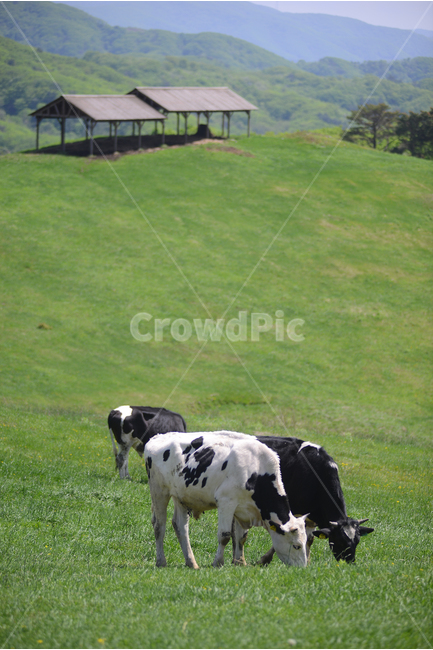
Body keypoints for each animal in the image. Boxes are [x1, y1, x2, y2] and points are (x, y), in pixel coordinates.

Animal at [144, 430, 309, 569]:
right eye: (297, 546)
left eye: (305, 542)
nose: (302, 568)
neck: (256, 468)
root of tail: (157, 437)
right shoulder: (226, 502)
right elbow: (224, 535)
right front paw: (218, 562)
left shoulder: (242, 508)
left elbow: (241, 537)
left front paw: (240, 562)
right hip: (159, 491)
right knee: (159, 526)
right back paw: (161, 561)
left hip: (181, 497)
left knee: (181, 527)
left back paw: (192, 563)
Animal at [233, 436, 374, 564]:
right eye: (339, 541)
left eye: (357, 541)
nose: (350, 563)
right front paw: (263, 560)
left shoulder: (312, 517)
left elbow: (308, 539)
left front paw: (308, 562)